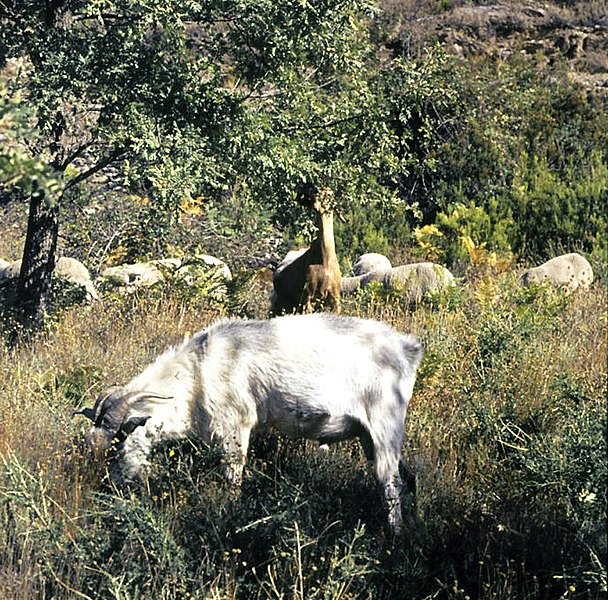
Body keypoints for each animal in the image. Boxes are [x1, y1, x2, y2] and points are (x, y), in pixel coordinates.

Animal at [77, 312, 422, 532]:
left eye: (119, 444)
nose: (109, 488)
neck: (197, 371)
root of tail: (408, 348)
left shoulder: (234, 427)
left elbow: (232, 478)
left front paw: (228, 517)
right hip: (369, 435)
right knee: (406, 477)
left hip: (384, 423)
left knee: (390, 482)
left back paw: (396, 536)